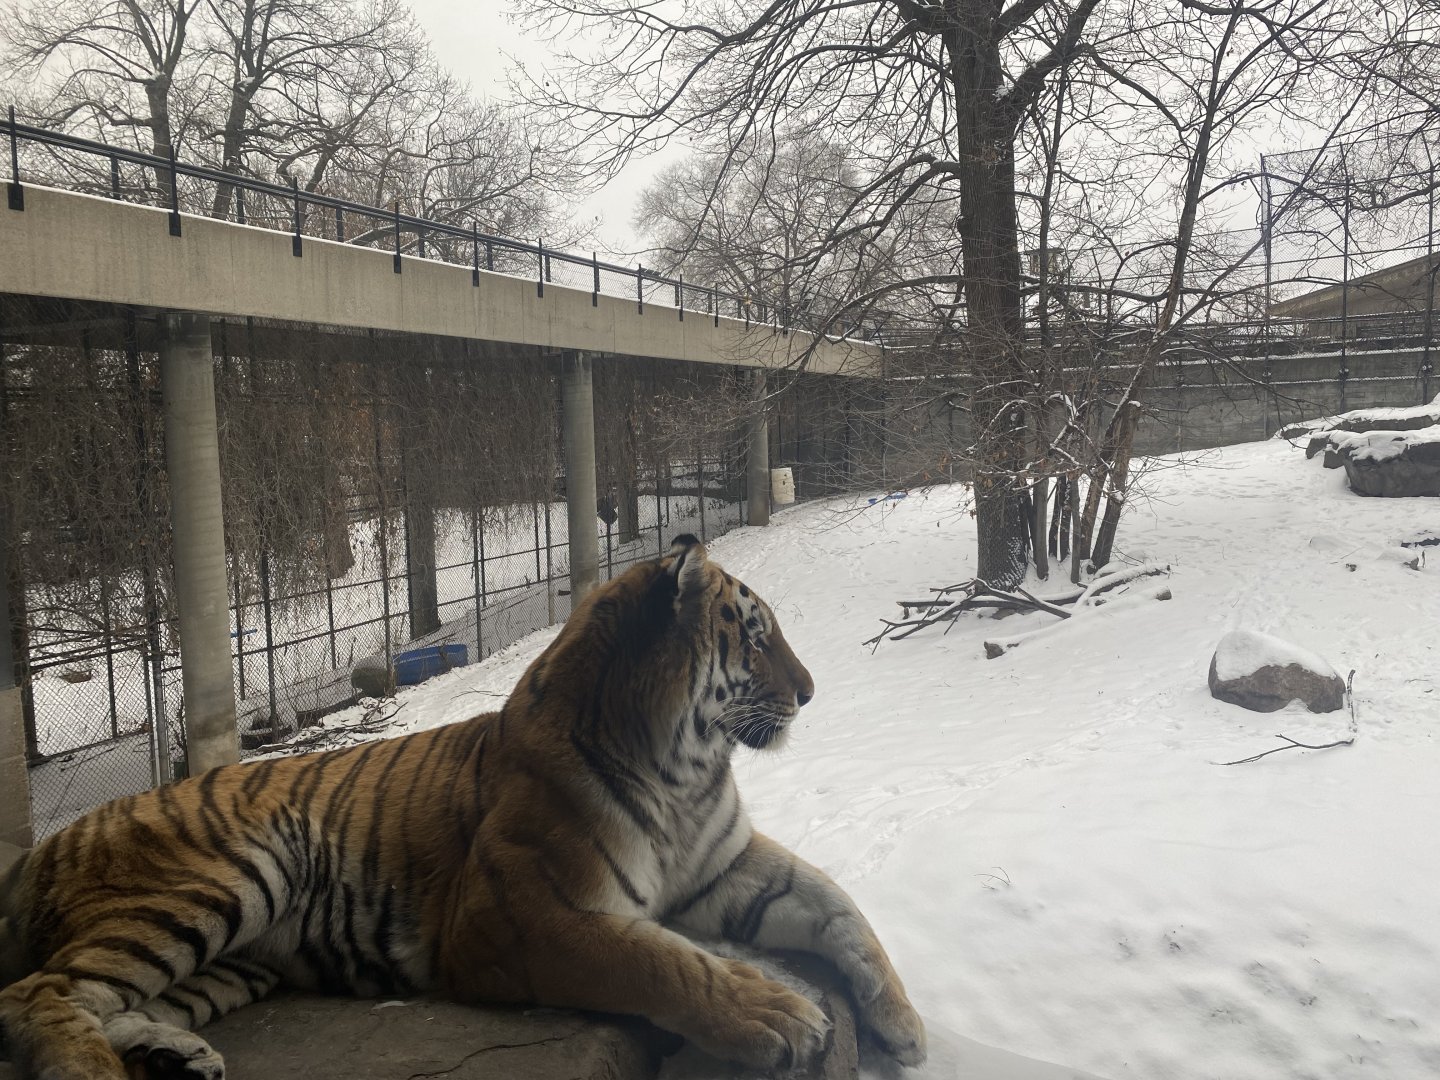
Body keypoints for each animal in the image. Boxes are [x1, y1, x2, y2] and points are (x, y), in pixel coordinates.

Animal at [0, 535, 926, 1079]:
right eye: (757, 636)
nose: (810, 692)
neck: (686, 772)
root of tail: (42, 847)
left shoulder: (724, 865)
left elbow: (840, 908)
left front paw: (901, 1024)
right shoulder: (518, 916)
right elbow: (661, 962)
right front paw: (777, 1013)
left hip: (238, 957)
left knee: (98, 997)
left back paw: (177, 1056)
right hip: (224, 877)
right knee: (37, 992)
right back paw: (99, 1072)